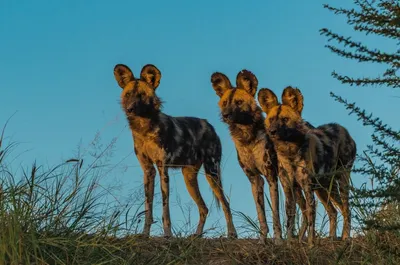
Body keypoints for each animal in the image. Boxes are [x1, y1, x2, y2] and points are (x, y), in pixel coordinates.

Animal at [113, 63, 238, 237]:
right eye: (128, 94)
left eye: (142, 95)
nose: (130, 109)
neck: (144, 129)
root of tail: (210, 126)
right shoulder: (148, 171)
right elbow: (148, 208)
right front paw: (145, 234)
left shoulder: (162, 169)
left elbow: (165, 209)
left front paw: (167, 234)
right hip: (189, 178)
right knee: (204, 208)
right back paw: (197, 235)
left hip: (212, 173)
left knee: (226, 204)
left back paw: (232, 234)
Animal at [211, 69, 308, 241]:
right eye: (224, 103)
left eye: (239, 102)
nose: (225, 115)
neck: (247, 139)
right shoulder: (255, 179)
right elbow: (260, 213)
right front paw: (263, 238)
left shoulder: (271, 178)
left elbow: (275, 214)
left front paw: (278, 239)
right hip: (293, 186)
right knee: (303, 209)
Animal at [258, 86, 358, 243]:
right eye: (272, 119)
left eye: (285, 119)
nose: (272, 131)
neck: (290, 153)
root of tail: (343, 129)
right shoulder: (289, 189)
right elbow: (290, 218)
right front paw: (290, 243)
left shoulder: (307, 187)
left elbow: (311, 218)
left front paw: (311, 244)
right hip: (323, 189)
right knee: (334, 211)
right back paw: (332, 237)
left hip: (341, 181)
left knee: (347, 209)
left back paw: (346, 237)